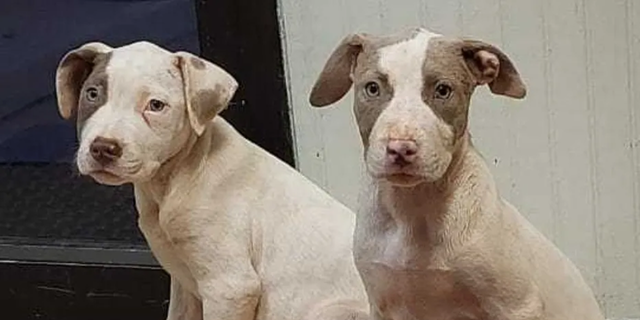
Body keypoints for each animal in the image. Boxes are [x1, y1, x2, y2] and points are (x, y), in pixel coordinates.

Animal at [55, 41, 370, 320]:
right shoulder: (185, 287)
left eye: (156, 105)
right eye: (92, 94)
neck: (175, 181)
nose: (103, 148)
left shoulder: (230, 287)